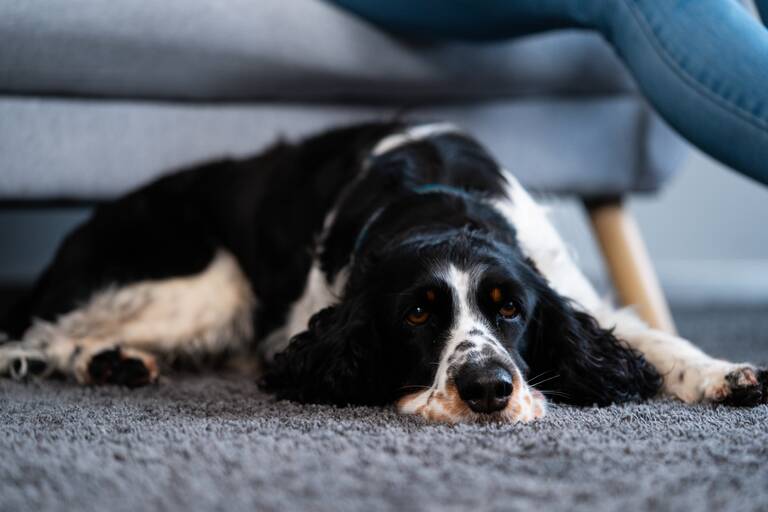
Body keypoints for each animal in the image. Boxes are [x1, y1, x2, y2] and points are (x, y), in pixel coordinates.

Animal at [0, 122, 764, 422]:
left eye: (509, 308)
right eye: (418, 312)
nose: (488, 391)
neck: (433, 199)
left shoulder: (563, 287)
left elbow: (650, 341)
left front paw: (727, 373)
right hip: (208, 282)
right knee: (39, 334)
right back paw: (109, 361)